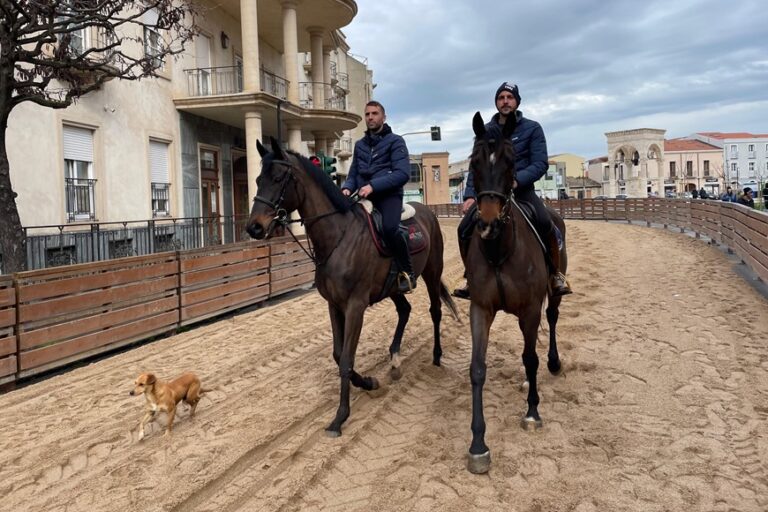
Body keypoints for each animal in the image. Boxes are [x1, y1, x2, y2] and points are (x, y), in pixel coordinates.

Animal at [249, 139, 460, 436]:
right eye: (258, 180)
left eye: (278, 178)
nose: (254, 227)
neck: (339, 237)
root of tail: (427, 211)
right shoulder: (334, 305)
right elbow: (339, 355)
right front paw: (369, 382)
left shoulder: (355, 306)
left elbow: (347, 359)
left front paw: (340, 416)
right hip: (393, 288)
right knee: (405, 310)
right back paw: (395, 359)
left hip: (432, 273)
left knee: (435, 311)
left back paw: (436, 357)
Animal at [462, 112, 568, 472]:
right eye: (474, 162)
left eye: (510, 162)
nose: (488, 223)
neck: (499, 249)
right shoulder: (480, 309)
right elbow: (477, 369)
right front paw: (478, 445)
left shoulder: (531, 308)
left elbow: (530, 358)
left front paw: (532, 412)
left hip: (551, 296)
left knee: (551, 322)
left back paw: (553, 363)